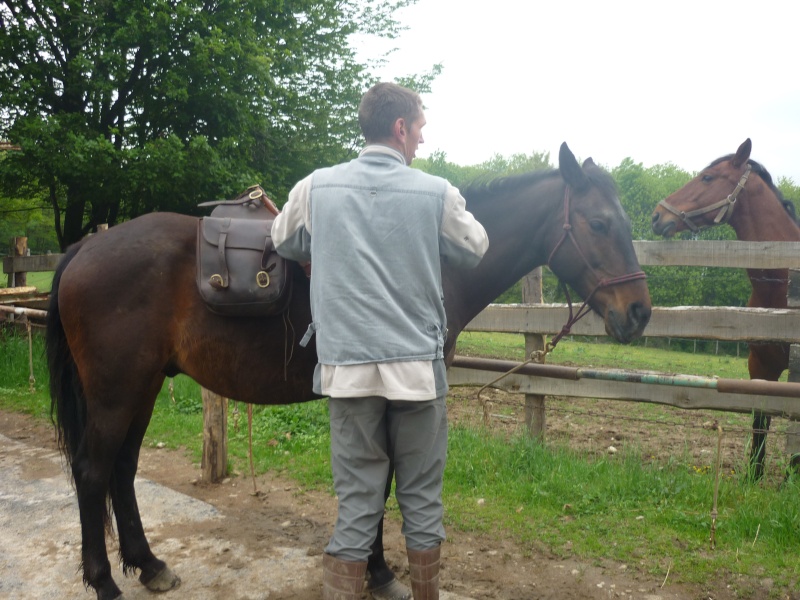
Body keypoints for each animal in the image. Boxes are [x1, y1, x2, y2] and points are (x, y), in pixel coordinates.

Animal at [47, 142, 652, 600]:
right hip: (116, 392)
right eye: (600, 223)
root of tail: (85, 247)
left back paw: (149, 565)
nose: (640, 313)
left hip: (142, 387)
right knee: (93, 472)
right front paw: (379, 573)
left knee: (123, 470)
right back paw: (105, 583)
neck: (426, 259)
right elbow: (381, 484)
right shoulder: (396, 395)